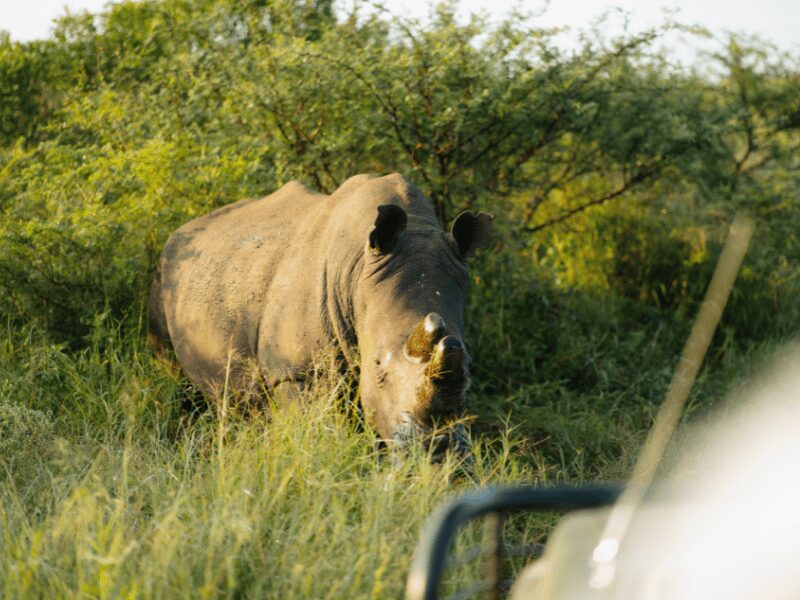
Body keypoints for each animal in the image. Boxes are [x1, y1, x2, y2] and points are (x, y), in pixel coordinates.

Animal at [148, 173, 492, 449]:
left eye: (470, 366)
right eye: (378, 366)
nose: (440, 450)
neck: (358, 274)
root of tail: (183, 230)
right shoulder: (296, 372)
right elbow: (320, 433)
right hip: (165, 275)